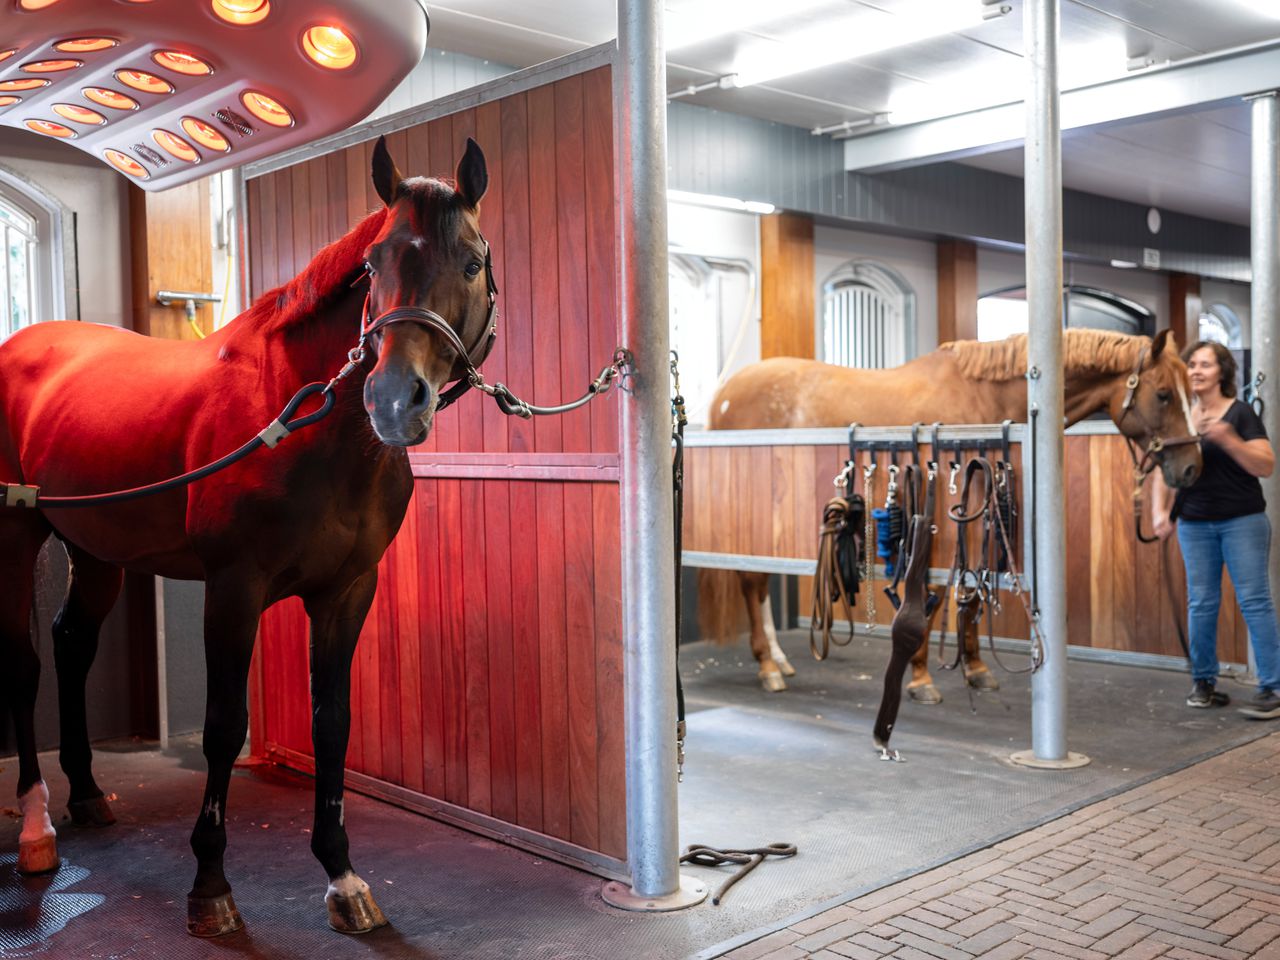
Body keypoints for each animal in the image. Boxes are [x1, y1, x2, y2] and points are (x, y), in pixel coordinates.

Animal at [0, 138, 494, 936]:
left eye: (473, 262)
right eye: (373, 264)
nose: (394, 400)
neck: (302, 421)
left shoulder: (347, 592)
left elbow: (332, 723)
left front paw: (342, 876)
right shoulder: (233, 589)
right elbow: (223, 727)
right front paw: (210, 887)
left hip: (97, 549)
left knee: (72, 642)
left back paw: (88, 794)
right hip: (16, 533)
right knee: (24, 664)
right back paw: (38, 826)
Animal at [701, 327, 1198, 696]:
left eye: (1190, 392)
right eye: (1163, 394)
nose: (1193, 467)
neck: (984, 398)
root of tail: (725, 392)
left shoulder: (977, 516)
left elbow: (971, 591)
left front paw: (976, 668)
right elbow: (935, 594)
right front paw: (920, 676)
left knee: (758, 583)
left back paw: (780, 661)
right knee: (750, 584)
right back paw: (768, 667)